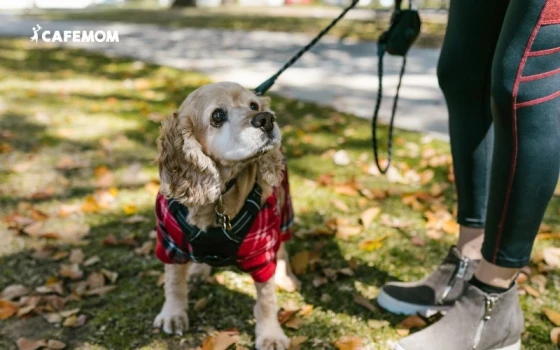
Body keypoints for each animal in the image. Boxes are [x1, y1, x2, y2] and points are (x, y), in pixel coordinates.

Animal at [151, 80, 300, 348]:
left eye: (253, 105)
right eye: (218, 116)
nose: (266, 119)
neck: (219, 195)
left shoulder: (262, 251)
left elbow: (266, 299)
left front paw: (271, 335)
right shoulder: (170, 242)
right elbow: (174, 282)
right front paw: (173, 314)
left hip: (284, 204)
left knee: (282, 245)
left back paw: (286, 276)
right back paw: (198, 271)